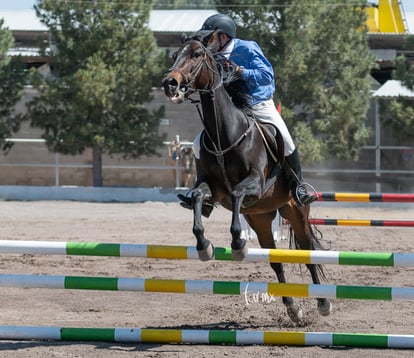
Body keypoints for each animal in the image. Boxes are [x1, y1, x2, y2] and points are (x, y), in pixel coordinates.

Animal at [160, 35, 332, 324]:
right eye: (175, 55)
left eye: (196, 55)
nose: (169, 83)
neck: (224, 134)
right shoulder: (212, 188)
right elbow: (198, 196)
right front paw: (204, 246)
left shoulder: (255, 184)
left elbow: (238, 193)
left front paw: (238, 244)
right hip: (260, 219)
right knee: (275, 260)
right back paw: (293, 309)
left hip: (296, 212)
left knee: (308, 253)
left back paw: (323, 303)